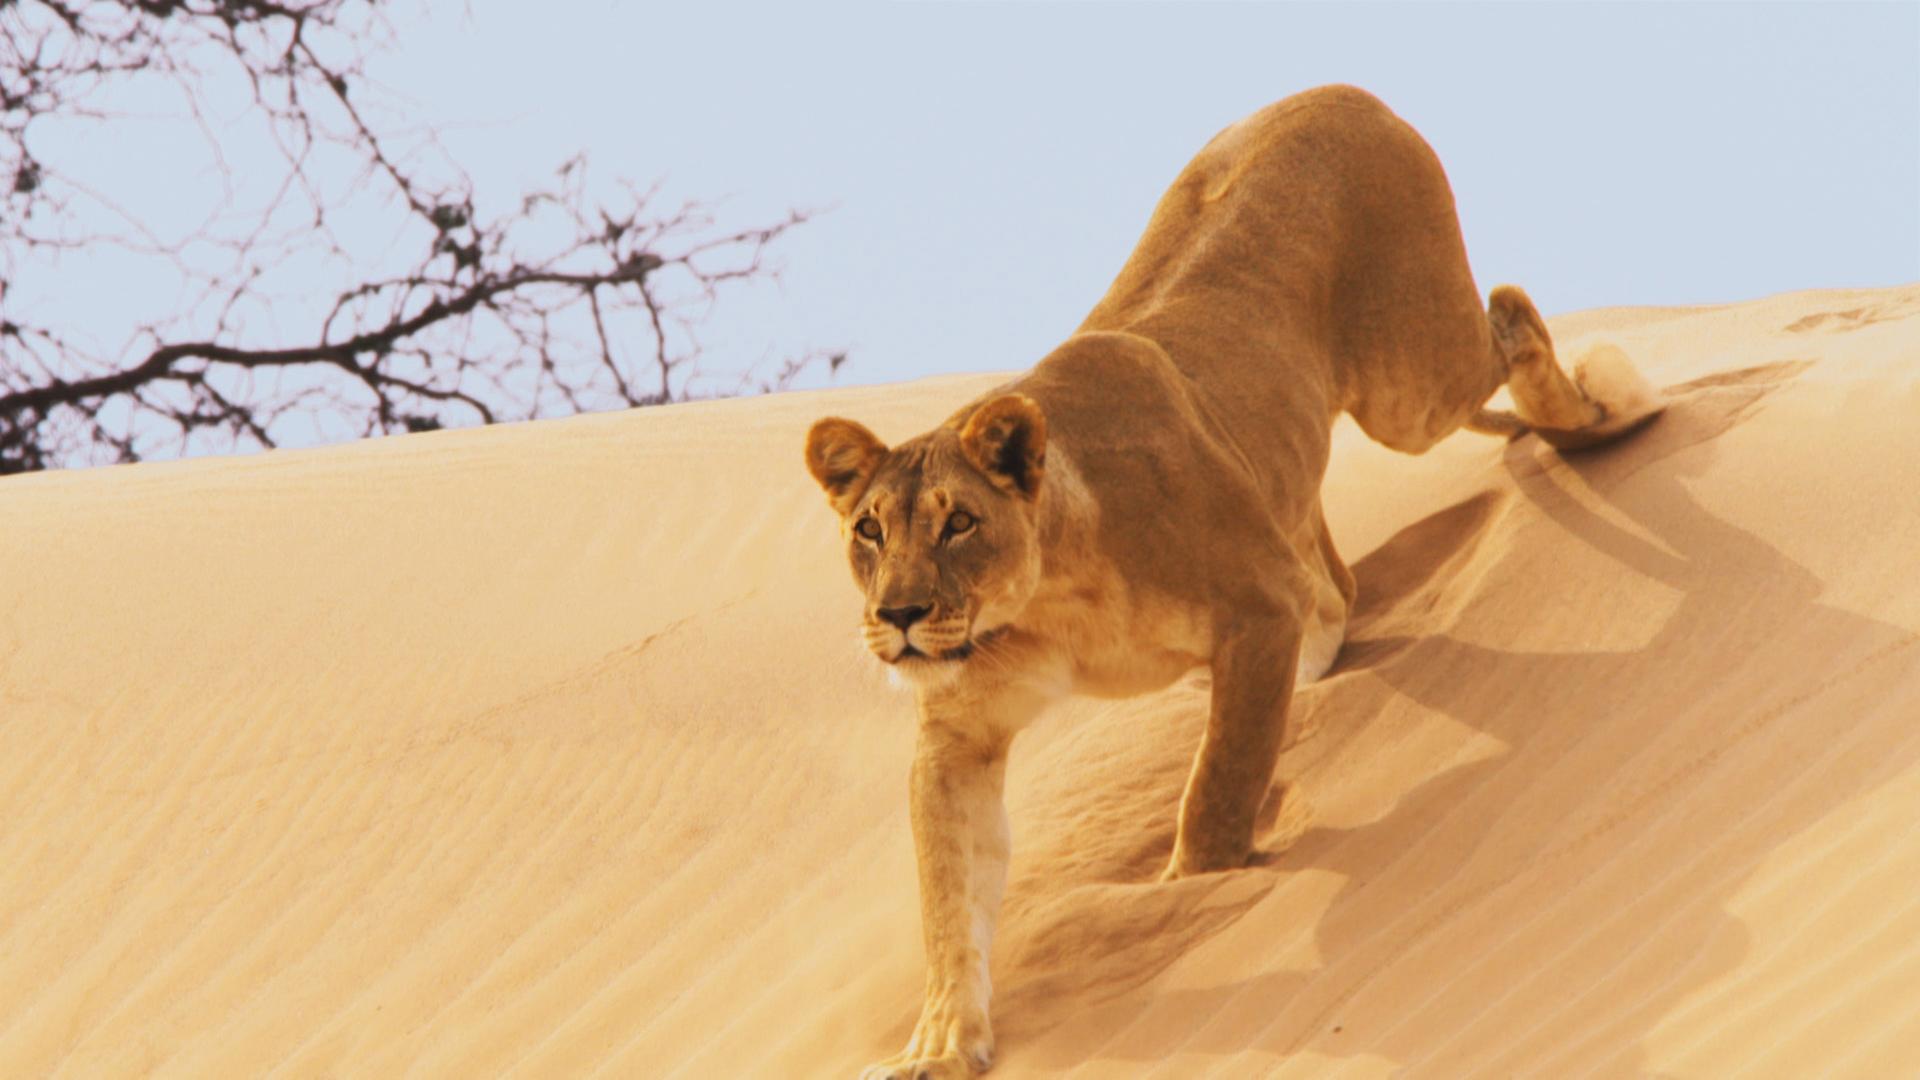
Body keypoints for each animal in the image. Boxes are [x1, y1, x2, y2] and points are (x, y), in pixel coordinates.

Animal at [803, 85, 1659, 1079]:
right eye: (869, 531)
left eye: (959, 523)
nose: (898, 615)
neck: (1047, 603)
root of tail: (1344, 91)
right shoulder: (959, 733)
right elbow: (950, 896)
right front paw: (942, 1041)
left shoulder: (1254, 610)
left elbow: (1218, 782)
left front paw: (1186, 896)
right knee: (1333, 573)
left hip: (1407, 386)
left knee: (1509, 314)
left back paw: (1605, 408)